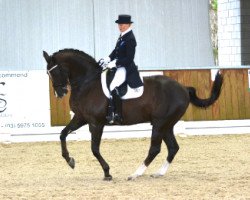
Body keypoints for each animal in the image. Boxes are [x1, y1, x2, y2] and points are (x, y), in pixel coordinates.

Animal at [43, 49, 223, 180]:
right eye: (48, 73)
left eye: (54, 71)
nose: (60, 93)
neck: (87, 83)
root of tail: (183, 88)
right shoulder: (81, 118)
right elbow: (63, 134)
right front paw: (70, 161)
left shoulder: (96, 123)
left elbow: (94, 148)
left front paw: (107, 172)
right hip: (166, 125)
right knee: (173, 148)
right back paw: (159, 173)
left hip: (160, 124)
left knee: (155, 149)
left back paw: (135, 174)